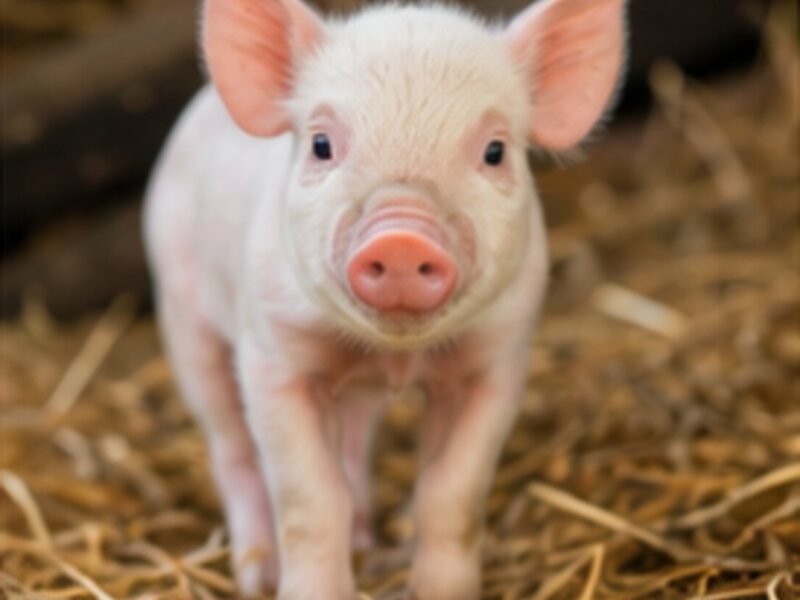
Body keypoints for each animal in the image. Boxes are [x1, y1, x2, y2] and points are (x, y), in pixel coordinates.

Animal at [143, 0, 628, 598]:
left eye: (495, 152)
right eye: (321, 145)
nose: (401, 239)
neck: (394, 354)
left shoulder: (497, 360)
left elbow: (450, 491)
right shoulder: (273, 358)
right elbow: (311, 499)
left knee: (353, 440)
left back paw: (364, 542)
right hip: (182, 309)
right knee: (230, 448)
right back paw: (257, 575)